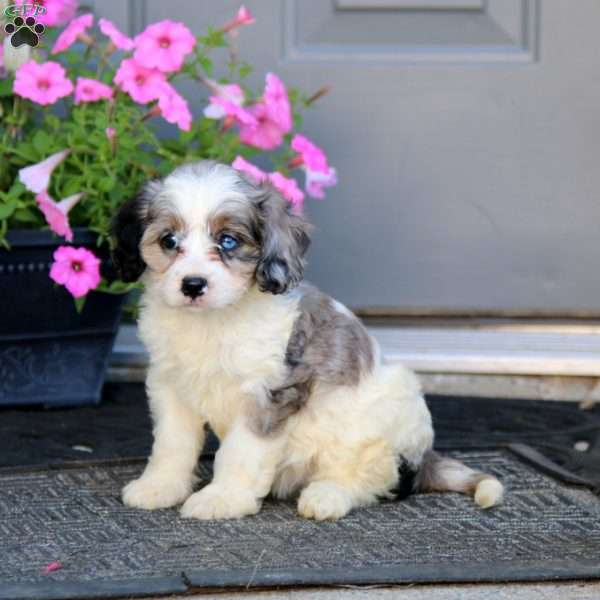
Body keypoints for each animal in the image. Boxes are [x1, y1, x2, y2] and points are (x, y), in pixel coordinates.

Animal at [111, 162, 502, 524]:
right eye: (169, 241)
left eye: (228, 241)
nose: (192, 285)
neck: (213, 321)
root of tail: (424, 455)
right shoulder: (170, 385)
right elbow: (172, 443)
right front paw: (159, 486)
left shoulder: (266, 394)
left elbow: (240, 452)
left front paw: (222, 498)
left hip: (373, 421)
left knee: (371, 476)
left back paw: (327, 496)